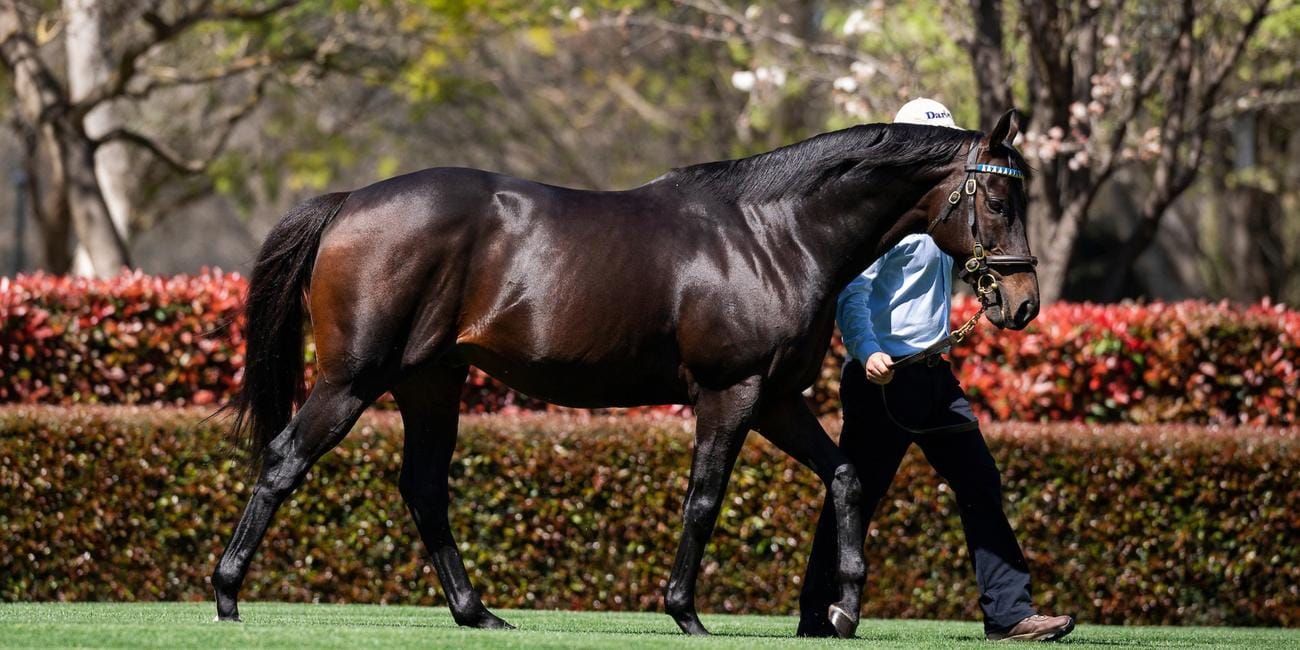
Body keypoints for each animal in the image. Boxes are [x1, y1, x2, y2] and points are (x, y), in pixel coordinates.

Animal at [212, 109, 1039, 638]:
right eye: (999, 196)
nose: (1024, 301)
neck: (773, 235)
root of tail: (351, 201)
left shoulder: (776, 400)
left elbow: (846, 477)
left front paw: (843, 608)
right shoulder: (730, 393)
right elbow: (704, 500)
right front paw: (684, 611)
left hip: (431, 383)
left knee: (423, 489)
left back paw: (476, 612)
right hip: (352, 379)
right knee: (284, 462)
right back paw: (225, 596)